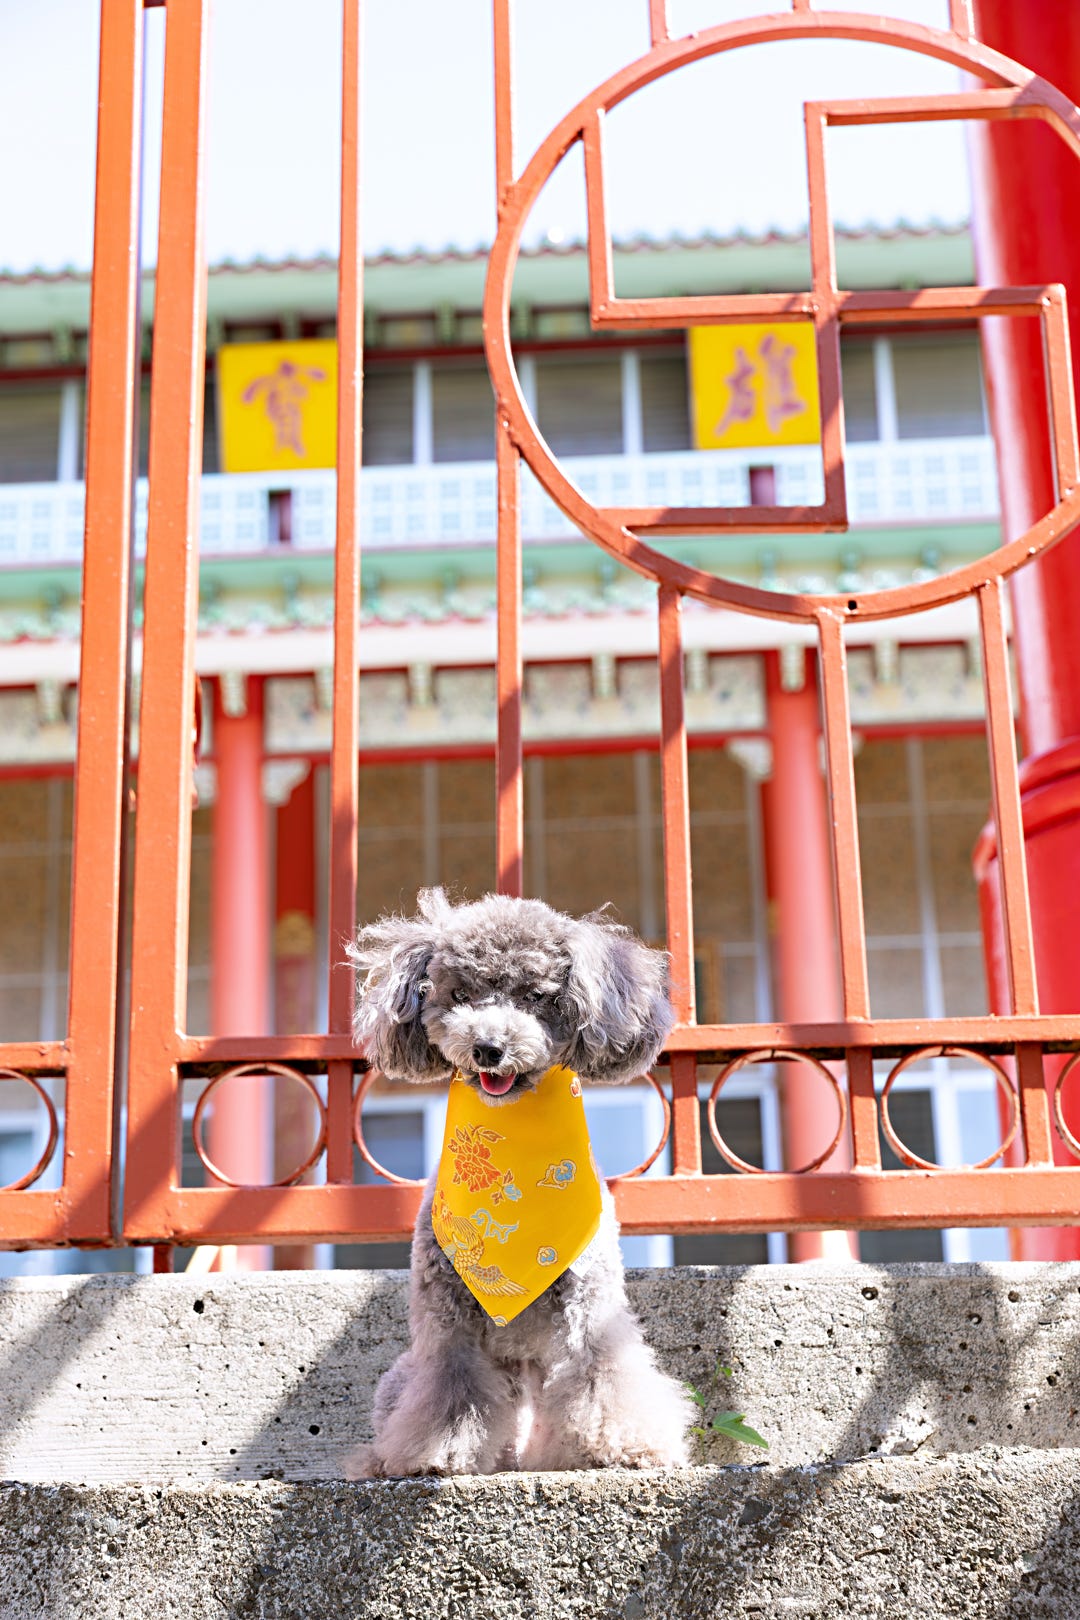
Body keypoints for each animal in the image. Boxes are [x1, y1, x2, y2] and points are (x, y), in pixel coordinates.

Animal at [351, 894, 696, 1477]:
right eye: (459, 995)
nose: (488, 1047)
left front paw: (624, 1446)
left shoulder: (590, 1302)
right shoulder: (447, 1321)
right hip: (401, 1377)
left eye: (535, 996)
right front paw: (439, 1452)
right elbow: (452, 1386)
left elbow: (600, 1372)